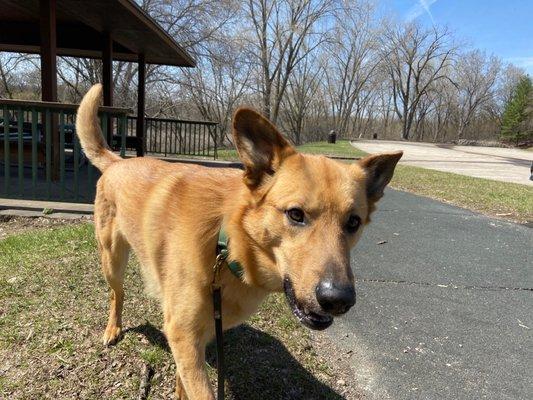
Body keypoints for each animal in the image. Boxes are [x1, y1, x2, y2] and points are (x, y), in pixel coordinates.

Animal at [74, 83, 400, 398]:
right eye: (295, 214)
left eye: (353, 222)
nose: (338, 300)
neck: (227, 243)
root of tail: (117, 162)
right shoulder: (184, 335)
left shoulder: (194, 337)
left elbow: (184, 381)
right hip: (113, 262)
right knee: (117, 295)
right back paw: (113, 328)